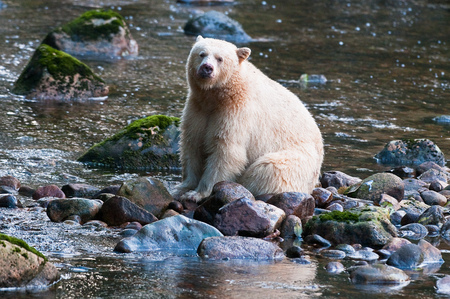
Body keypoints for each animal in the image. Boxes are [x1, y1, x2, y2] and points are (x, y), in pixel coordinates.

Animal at [176, 36, 324, 203]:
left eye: (220, 59)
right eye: (201, 54)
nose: (207, 68)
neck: (218, 96)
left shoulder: (237, 112)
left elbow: (226, 151)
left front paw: (198, 193)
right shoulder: (197, 108)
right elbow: (192, 144)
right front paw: (183, 187)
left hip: (297, 161)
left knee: (269, 169)